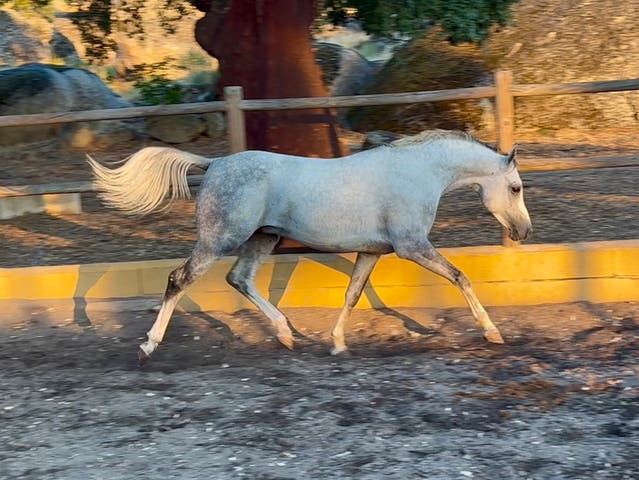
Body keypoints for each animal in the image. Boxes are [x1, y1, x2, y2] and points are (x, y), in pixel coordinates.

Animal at [88, 129, 532, 363]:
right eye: (515, 187)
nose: (525, 232)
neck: (419, 173)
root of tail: (214, 164)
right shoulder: (412, 246)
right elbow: (460, 277)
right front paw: (492, 332)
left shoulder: (371, 251)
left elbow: (353, 294)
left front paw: (336, 343)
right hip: (220, 239)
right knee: (178, 279)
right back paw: (149, 344)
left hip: (262, 237)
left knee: (240, 279)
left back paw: (286, 334)